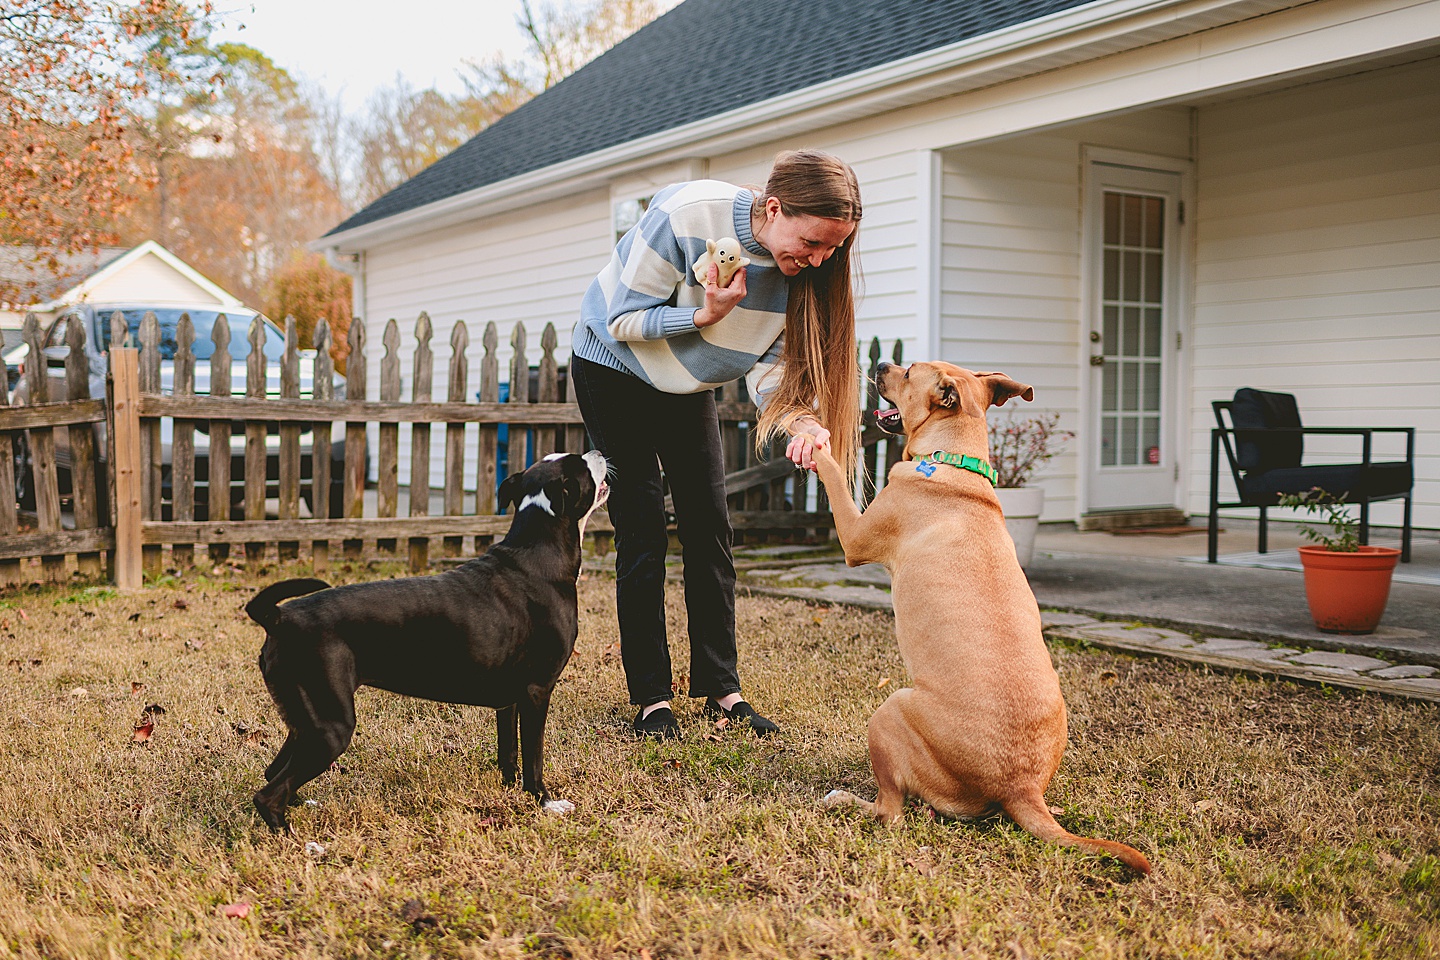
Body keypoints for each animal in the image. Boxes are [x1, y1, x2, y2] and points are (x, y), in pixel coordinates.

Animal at [247, 451, 607, 834]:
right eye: (581, 464)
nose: (598, 453)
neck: (539, 552)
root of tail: (280, 617)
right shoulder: (537, 691)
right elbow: (534, 757)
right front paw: (544, 802)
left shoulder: (510, 700)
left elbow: (509, 750)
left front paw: (510, 788)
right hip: (331, 728)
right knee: (269, 793)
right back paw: (293, 837)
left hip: (306, 722)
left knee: (274, 773)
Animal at [817, 359, 1152, 880]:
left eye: (908, 372)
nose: (880, 364)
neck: (954, 461)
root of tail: (1020, 786)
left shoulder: (854, 535)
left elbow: (833, 472)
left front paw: (810, 439)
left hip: (889, 710)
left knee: (890, 812)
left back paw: (844, 800)